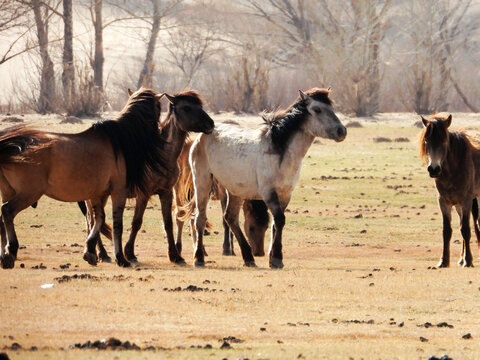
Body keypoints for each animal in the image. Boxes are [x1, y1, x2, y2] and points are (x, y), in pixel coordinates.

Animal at [0, 88, 168, 268]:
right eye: (159, 107)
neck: (118, 141)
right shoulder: (118, 192)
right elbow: (116, 225)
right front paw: (120, 258)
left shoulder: (98, 194)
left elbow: (98, 219)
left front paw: (90, 252)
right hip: (28, 194)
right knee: (7, 211)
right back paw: (11, 251)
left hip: (9, 192)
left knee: (1, 218)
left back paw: (3, 255)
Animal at [91, 88, 215, 262]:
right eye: (187, 108)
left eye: (201, 106)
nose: (211, 124)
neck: (161, 155)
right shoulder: (143, 194)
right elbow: (137, 222)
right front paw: (129, 252)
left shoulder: (166, 193)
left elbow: (168, 223)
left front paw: (175, 255)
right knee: (92, 220)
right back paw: (101, 253)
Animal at [188, 87, 344, 268]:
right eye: (317, 109)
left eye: (332, 108)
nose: (342, 131)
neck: (279, 151)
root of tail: (203, 135)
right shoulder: (269, 193)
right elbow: (280, 219)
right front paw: (276, 258)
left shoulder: (285, 194)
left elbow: (277, 224)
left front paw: (273, 258)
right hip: (202, 183)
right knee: (200, 218)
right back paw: (199, 258)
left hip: (234, 190)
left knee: (230, 218)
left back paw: (248, 257)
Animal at [418, 113, 480, 268]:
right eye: (427, 140)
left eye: (444, 141)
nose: (433, 169)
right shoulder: (444, 202)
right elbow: (447, 230)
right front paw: (444, 261)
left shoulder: (466, 201)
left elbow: (465, 230)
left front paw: (468, 261)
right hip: (458, 205)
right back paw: (460, 259)